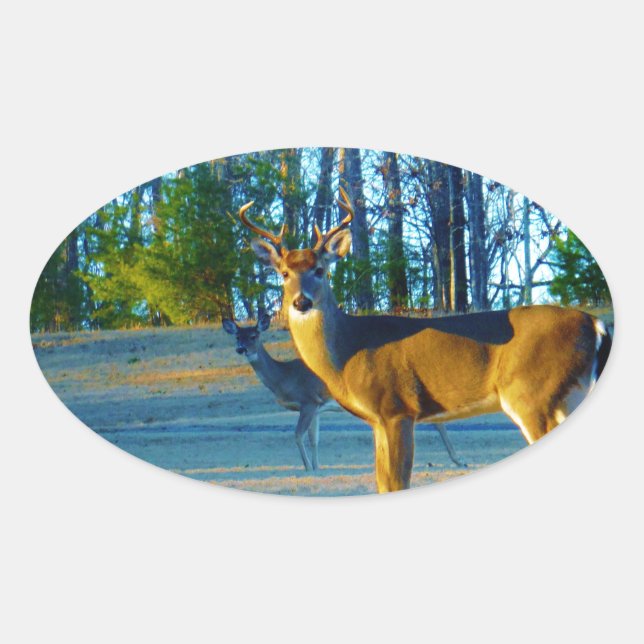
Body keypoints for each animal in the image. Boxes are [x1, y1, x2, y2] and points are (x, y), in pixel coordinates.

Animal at [240, 188, 612, 493]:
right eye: (284, 273)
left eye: (320, 269)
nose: (301, 301)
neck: (348, 352)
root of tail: (596, 324)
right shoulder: (377, 420)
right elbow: (382, 483)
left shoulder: (397, 406)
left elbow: (396, 483)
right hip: (567, 396)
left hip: (533, 394)